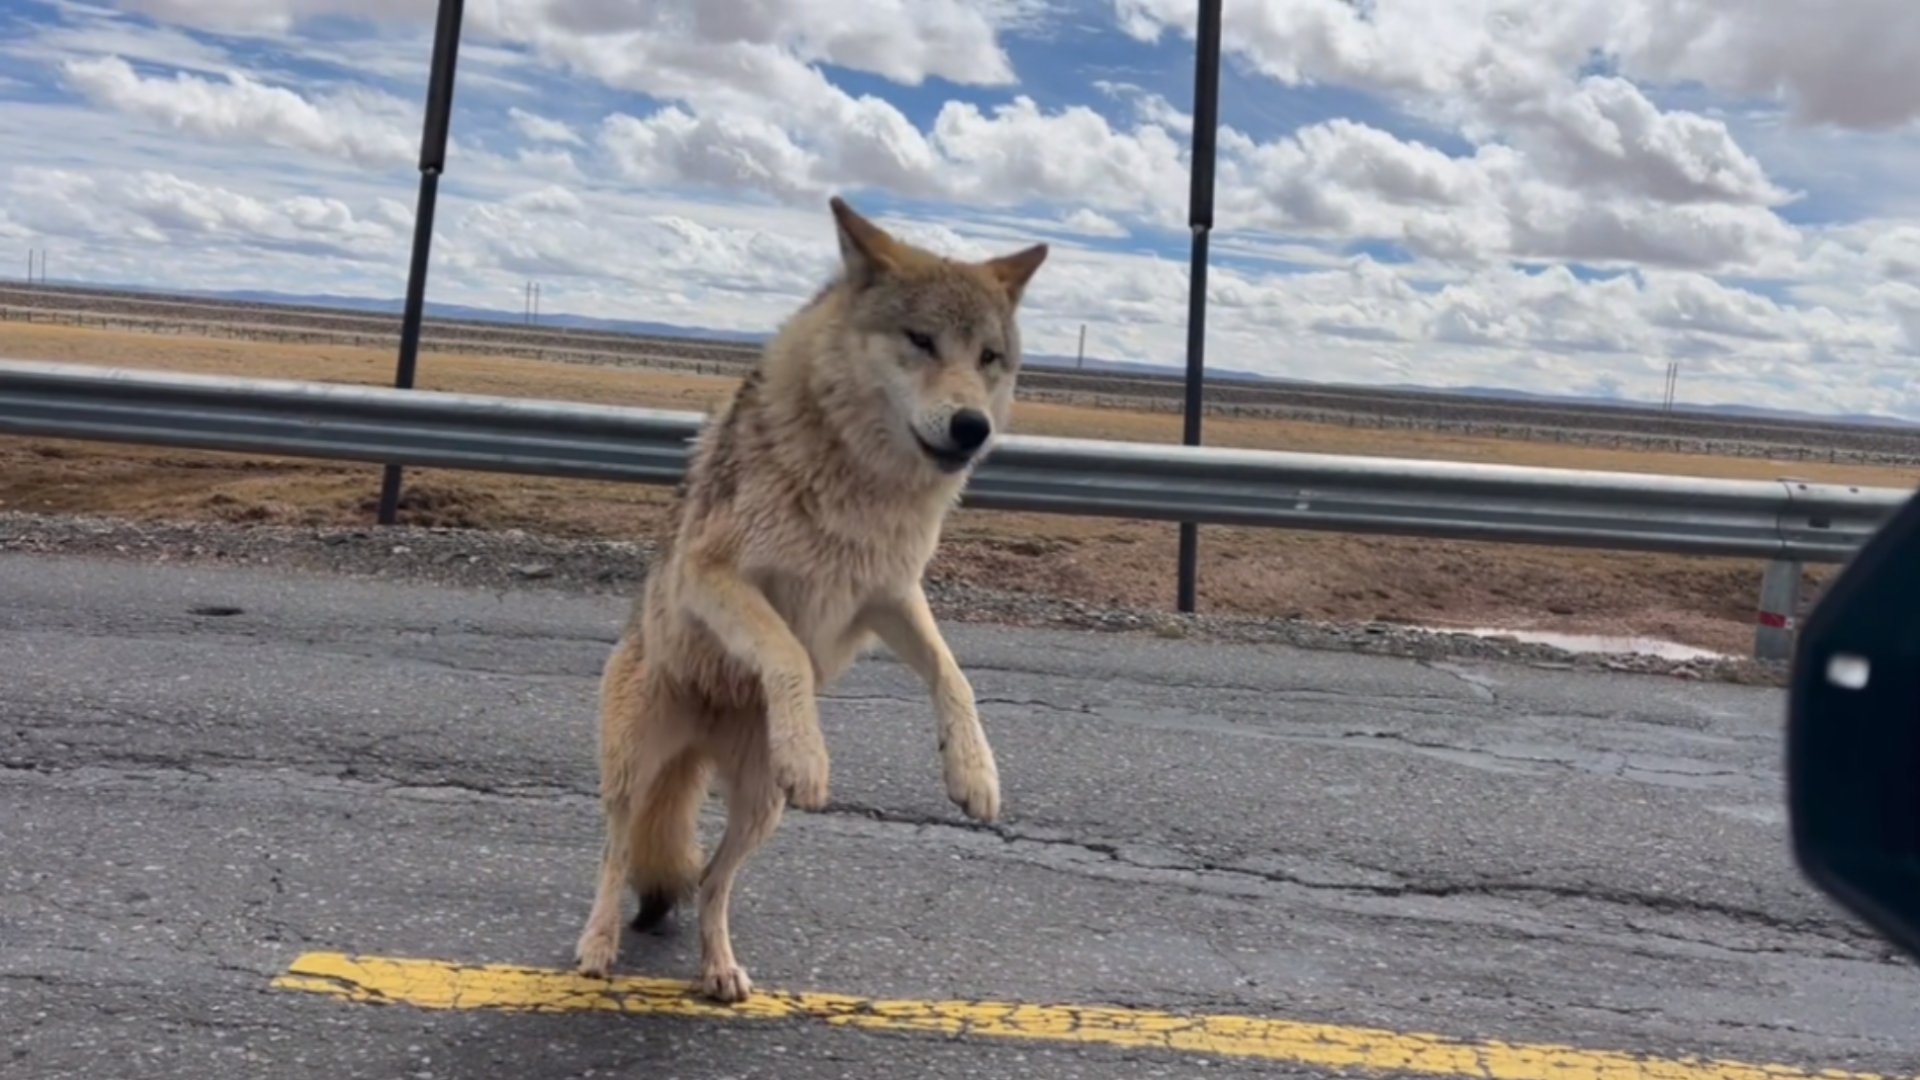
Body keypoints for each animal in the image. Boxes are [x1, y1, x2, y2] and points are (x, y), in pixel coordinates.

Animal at [568, 193, 1052, 999]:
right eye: (921, 341)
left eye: (989, 357)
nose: (972, 427)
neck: (861, 483)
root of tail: (701, 738)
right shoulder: (715, 576)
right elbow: (786, 650)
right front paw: (809, 749)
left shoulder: (889, 594)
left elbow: (955, 676)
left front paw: (973, 773)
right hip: (634, 769)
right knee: (615, 854)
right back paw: (597, 947)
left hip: (759, 810)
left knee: (713, 885)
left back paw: (720, 970)